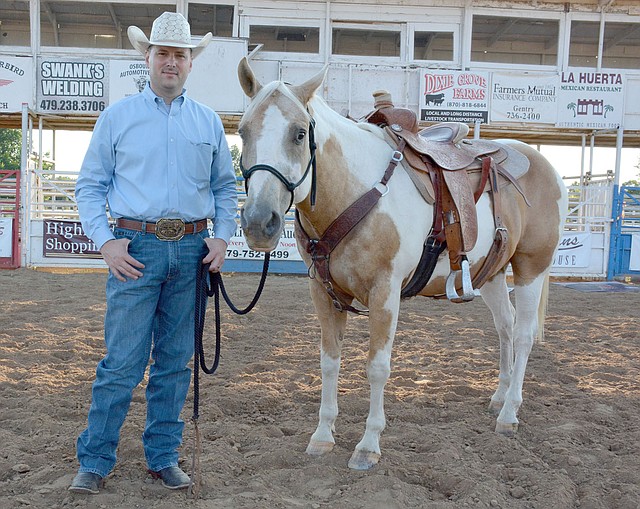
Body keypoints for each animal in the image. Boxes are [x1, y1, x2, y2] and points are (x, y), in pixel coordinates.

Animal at [238, 57, 568, 470]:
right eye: (242, 132)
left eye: (299, 134)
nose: (258, 222)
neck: (357, 190)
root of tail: (545, 165)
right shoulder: (323, 292)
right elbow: (329, 362)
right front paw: (322, 436)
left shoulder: (385, 291)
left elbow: (377, 367)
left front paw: (368, 445)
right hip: (491, 273)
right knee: (505, 328)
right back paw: (498, 397)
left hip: (531, 267)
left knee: (523, 335)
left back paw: (509, 413)